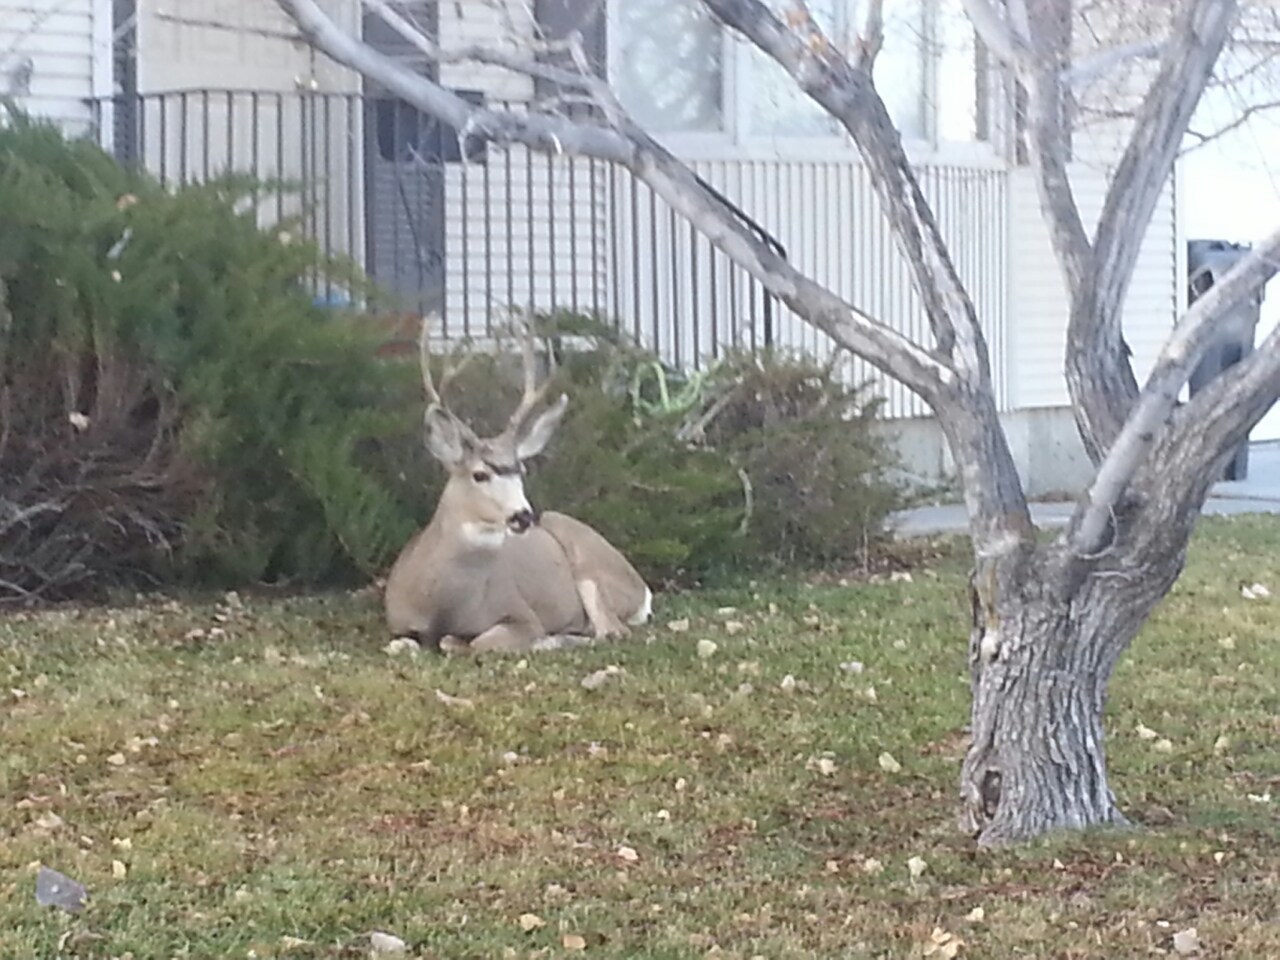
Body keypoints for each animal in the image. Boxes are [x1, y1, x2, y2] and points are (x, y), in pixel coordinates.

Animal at [381, 320, 655, 660]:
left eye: (521, 470)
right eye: (480, 474)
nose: (523, 516)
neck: (443, 606)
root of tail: (643, 589)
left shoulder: (521, 612)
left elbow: (478, 642)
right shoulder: (397, 623)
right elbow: (400, 644)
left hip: (593, 573)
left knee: (611, 630)